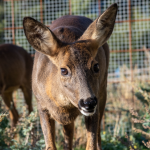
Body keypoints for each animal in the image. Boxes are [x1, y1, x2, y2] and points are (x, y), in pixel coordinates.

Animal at [22, 3, 118, 150]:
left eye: (96, 66)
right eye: (63, 70)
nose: (88, 102)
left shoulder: (95, 103)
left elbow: (91, 144)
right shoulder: (41, 105)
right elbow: (50, 145)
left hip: (103, 91)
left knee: (97, 136)